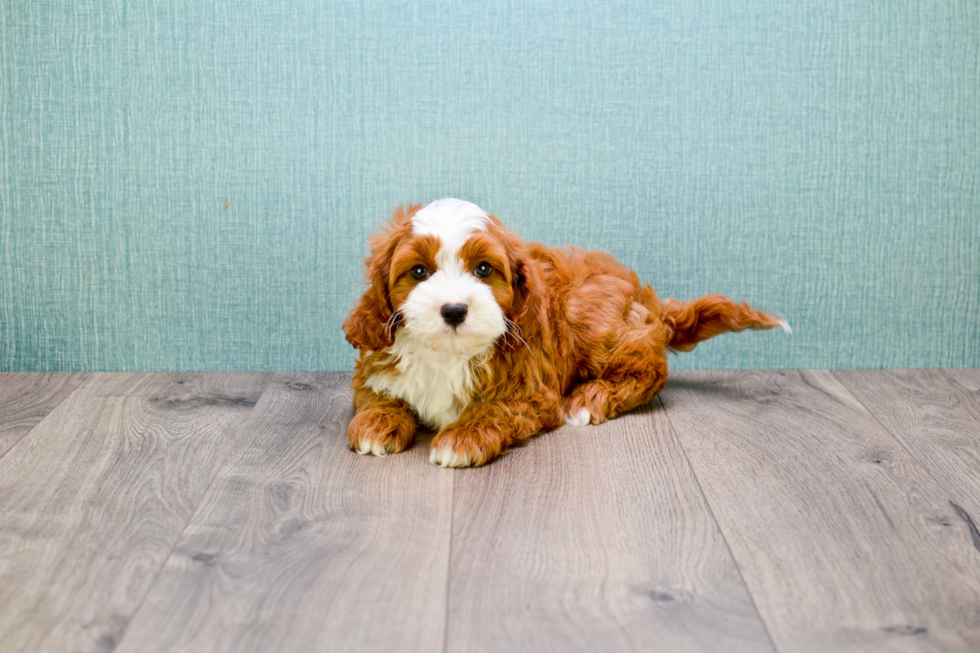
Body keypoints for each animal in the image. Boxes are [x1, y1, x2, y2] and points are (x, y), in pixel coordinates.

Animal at [344, 196, 788, 466]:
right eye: (418, 272)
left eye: (484, 269)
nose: (454, 309)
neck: (448, 353)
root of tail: (649, 298)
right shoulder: (373, 367)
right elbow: (376, 395)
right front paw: (375, 424)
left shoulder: (531, 392)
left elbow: (494, 408)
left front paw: (462, 438)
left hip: (590, 318)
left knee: (652, 369)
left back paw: (590, 398)